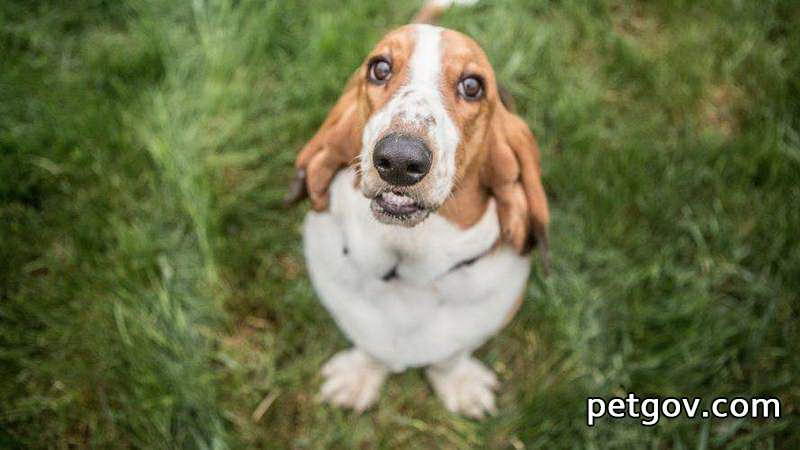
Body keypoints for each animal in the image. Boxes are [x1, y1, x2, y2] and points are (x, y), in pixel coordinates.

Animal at [282, 0, 552, 418]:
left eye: (472, 86)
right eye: (379, 68)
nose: (398, 159)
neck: (406, 266)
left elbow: (450, 358)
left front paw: (459, 385)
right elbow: (370, 349)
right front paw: (358, 377)